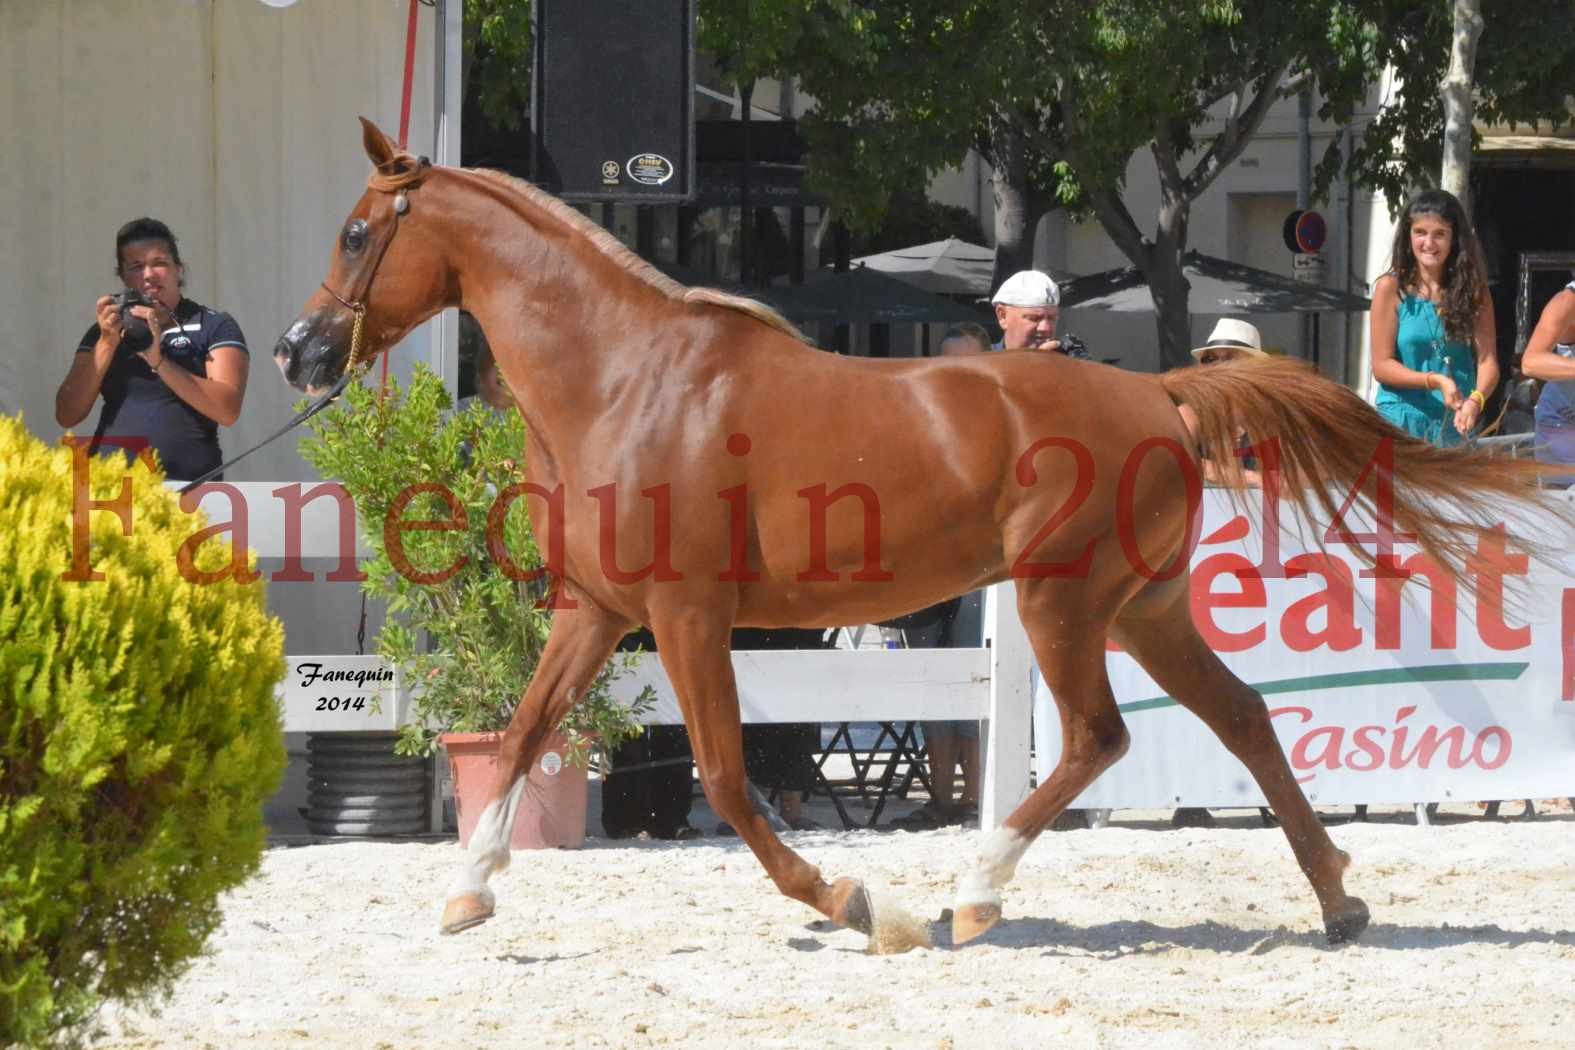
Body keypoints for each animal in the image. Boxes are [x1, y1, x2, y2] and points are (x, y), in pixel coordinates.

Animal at [277, 123, 1556, 950]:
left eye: (356, 233)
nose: (298, 353)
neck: (630, 380)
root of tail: (1161, 394)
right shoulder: (597, 613)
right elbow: (524, 729)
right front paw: (468, 889)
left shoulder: (689, 617)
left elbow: (730, 781)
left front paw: (856, 904)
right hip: (1141, 609)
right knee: (1241, 718)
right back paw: (1337, 897)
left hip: (1058, 605)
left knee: (1097, 741)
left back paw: (972, 893)